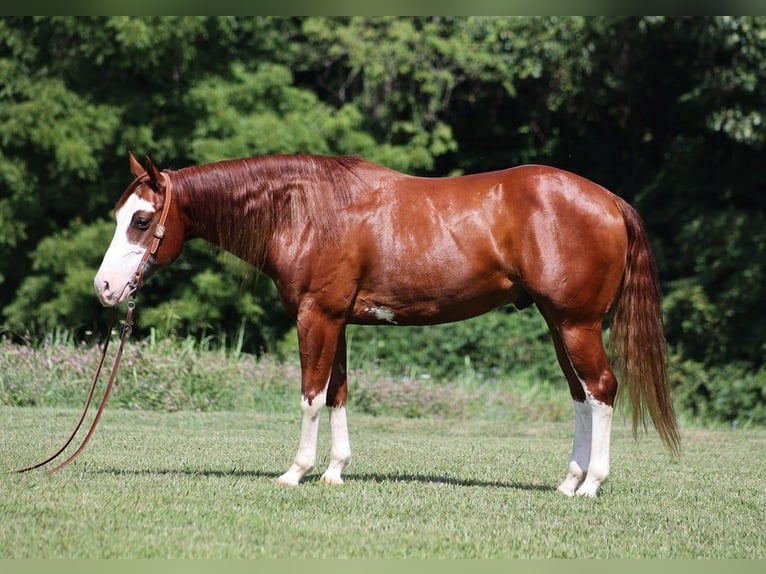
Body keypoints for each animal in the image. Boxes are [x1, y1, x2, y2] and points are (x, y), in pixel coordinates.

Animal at [93, 151, 680, 498]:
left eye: (142, 220)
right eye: (119, 216)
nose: (105, 288)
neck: (305, 209)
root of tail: (610, 201)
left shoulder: (316, 316)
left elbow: (310, 395)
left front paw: (295, 472)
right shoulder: (337, 320)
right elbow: (337, 393)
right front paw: (334, 471)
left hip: (576, 324)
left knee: (602, 389)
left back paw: (592, 485)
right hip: (560, 326)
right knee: (582, 396)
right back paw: (569, 482)